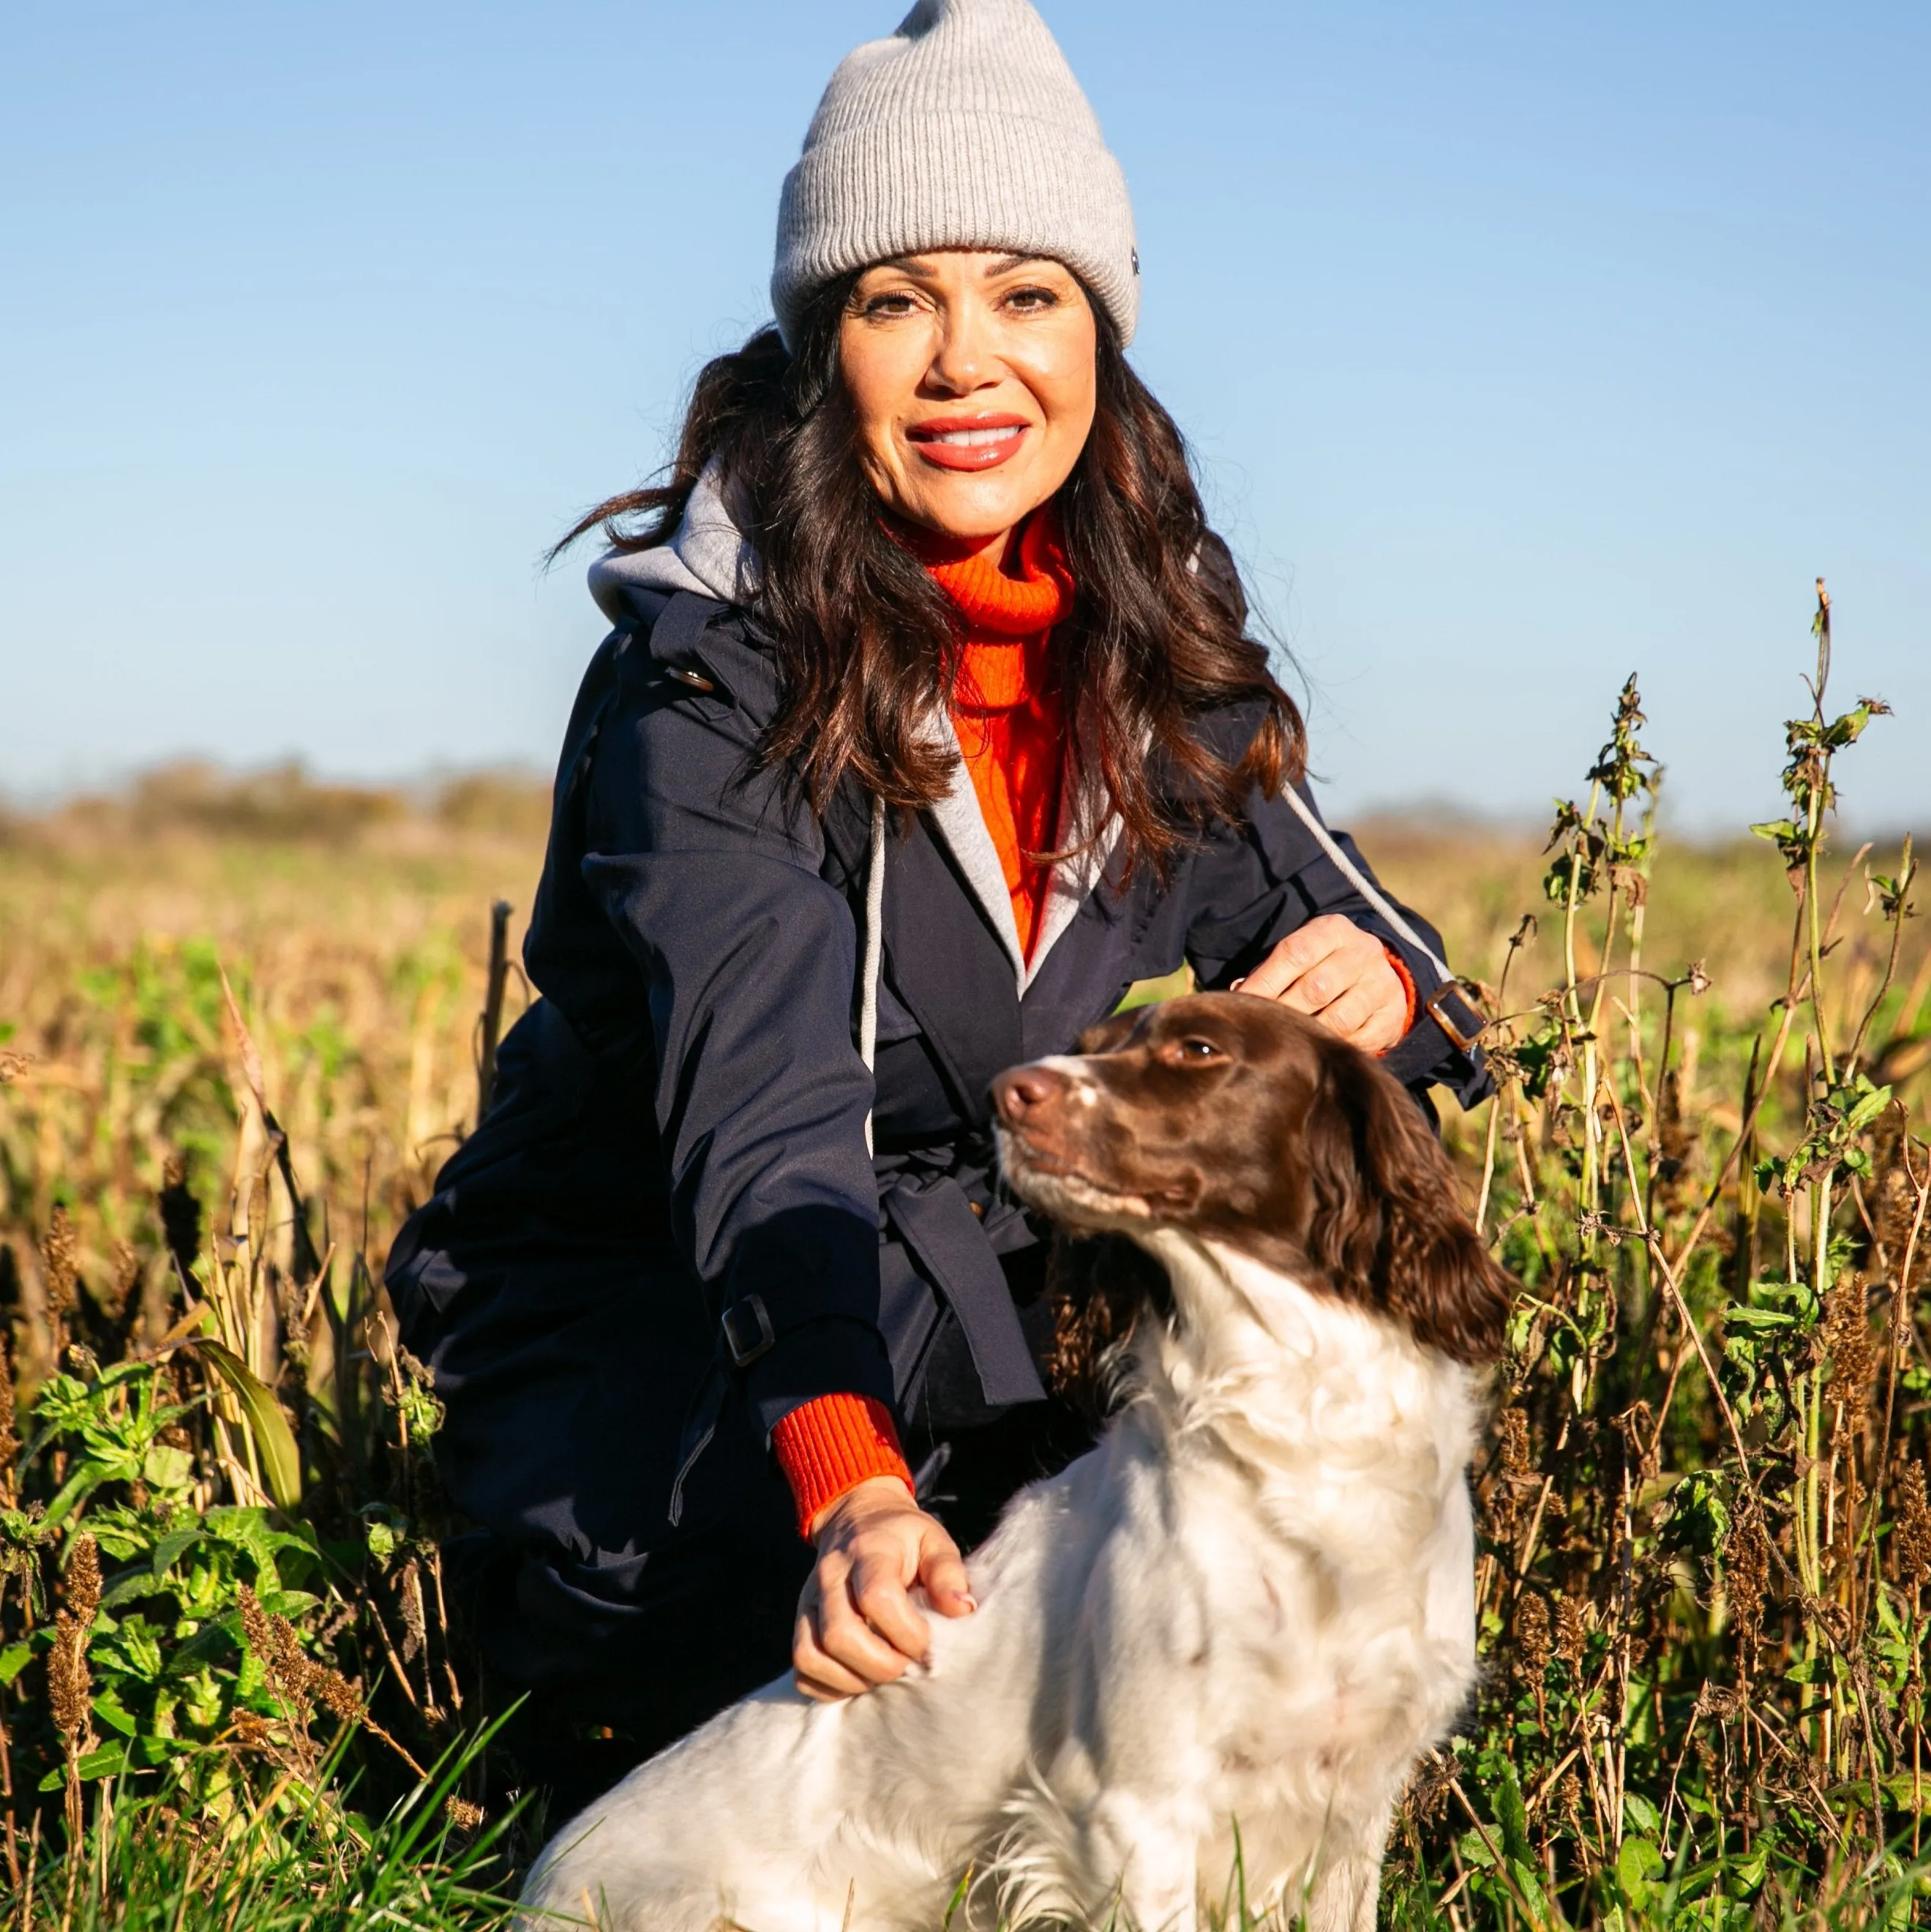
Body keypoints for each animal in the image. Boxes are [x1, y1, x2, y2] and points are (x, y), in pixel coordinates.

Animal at [525, 997, 1506, 1932]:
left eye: (1197, 1049)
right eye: (1095, 1043)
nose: (1008, 1093)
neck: (1299, 1416)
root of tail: (532, 1888)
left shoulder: (1353, 1805)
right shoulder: (1137, 1806)